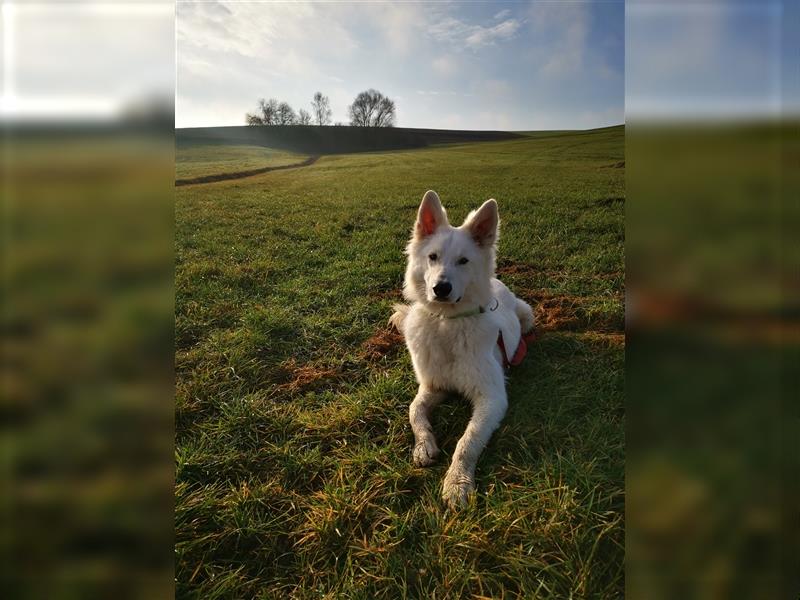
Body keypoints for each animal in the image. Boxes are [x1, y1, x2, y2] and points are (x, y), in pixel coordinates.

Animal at [390, 191, 536, 506]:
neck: (447, 324)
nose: (441, 288)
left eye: (463, 261)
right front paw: (423, 446)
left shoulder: (491, 398)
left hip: (528, 315)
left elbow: (467, 441)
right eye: (432, 257)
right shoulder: (433, 387)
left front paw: (457, 482)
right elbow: (414, 411)